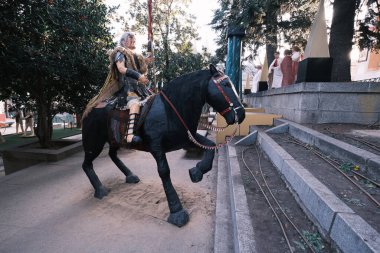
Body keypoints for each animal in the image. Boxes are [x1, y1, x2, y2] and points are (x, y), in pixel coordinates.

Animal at [81, 64, 245, 226]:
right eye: (226, 84)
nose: (241, 114)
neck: (169, 110)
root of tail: (90, 107)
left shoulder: (186, 138)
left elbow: (210, 146)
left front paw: (197, 171)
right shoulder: (156, 147)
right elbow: (164, 171)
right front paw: (176, 211)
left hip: (114, 139)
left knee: (112, 154)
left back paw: (130, 175)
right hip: (94, 142)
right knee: (87, 163)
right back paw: (100, 189)